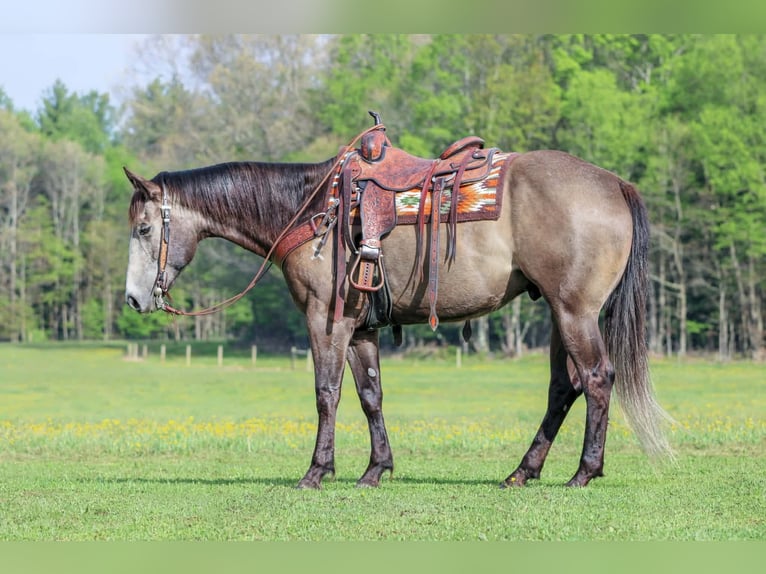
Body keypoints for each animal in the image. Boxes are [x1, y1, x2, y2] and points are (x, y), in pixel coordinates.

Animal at [123, 137, 672, 489]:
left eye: (144, 228)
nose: (133, 299)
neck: (312, 210)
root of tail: (614, 184)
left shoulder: (326, 320)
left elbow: (326, 394)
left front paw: (317, 471)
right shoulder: (361, 328)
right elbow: (370, 395)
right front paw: (375, 470)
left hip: (575, 312)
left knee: (597, 379)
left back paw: (584, 472)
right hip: (561, 313)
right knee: (564, 388)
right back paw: (523, 471)